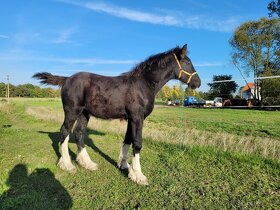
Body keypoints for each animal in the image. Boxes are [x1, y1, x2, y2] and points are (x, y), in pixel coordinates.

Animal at [33, 44, 199, 184]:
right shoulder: (137, 118)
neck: (143, 84)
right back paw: (67, 164)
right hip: (72, 112)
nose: (198, 83)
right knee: (65, 132)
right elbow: (137, 143)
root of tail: (67, 79)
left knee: (78, 132)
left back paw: (87, 163)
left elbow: (128, 140)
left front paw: (125, 166)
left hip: (84, 113)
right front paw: (138, 175)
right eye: (187, 62)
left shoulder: (131, 119)